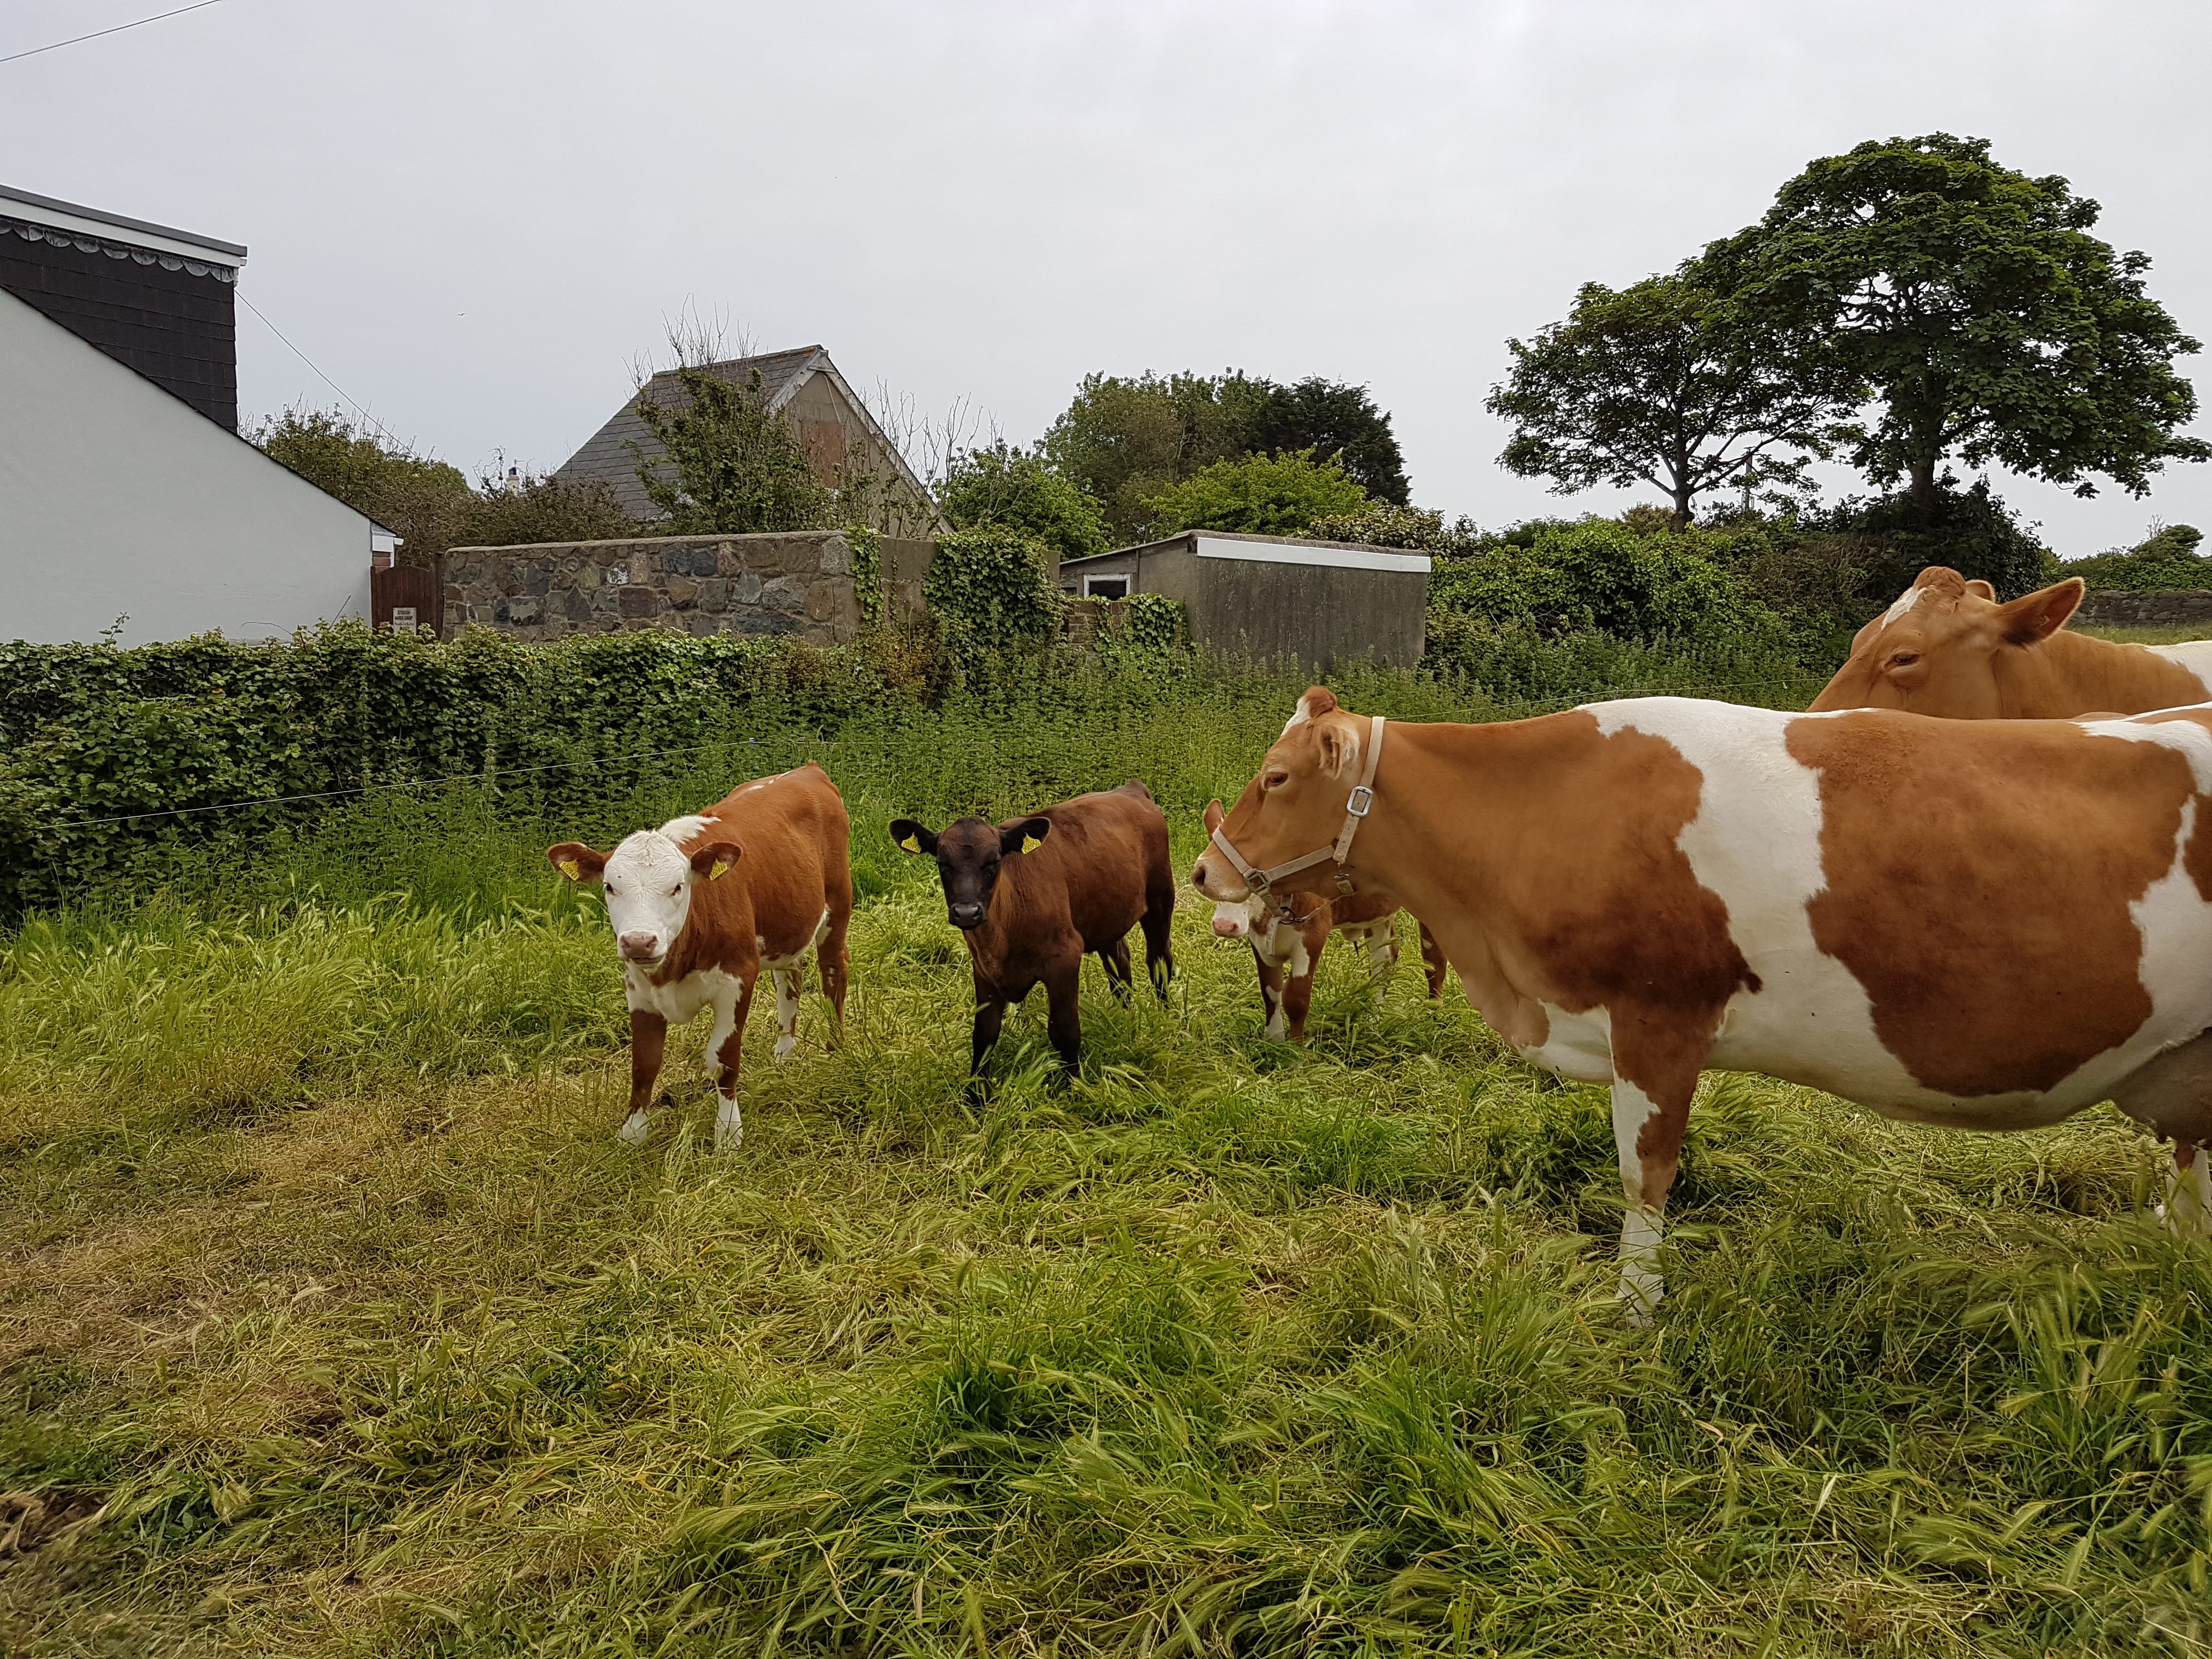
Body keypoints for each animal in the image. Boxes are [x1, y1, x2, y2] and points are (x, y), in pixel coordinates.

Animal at [547, 762, 852, 1151]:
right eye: (609, 886)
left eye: (678, 886)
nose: (639, 942)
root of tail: (806, 769)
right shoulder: (638, 989)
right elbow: (644, 1064)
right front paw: (633, 1133)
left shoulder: (738, 978)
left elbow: (723, 1059)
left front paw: (728, 1134)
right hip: (787, 925)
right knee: (790, 980)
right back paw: (784, 1051)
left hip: (837, 906)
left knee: (833, 974)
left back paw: (836, 1048)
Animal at [891, 781, 1175, 1082]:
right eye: (942, 863)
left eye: (994, 861)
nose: (967, 912)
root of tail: (1131, 789)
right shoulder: (983, 968)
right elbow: (984, 1035)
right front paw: (976, 1092)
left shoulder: (1065, 959)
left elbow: (1065, 1032)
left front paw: (1074, 1085)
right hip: (1107, 915)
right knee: (1120, 964)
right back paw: (1125, 1017)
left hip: (1161, 900)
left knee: (1159, 963)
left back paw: (1166, 1019)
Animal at [1201, 798, 1448, 1041]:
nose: (1224, 926)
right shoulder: (1259, 940)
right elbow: (1270, 992)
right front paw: (1273, 1042)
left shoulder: (1313, 934)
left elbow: (1296, 998)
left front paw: (1295, 1050)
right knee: (1385, 959)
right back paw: (1374, 1020)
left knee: (1433, 961)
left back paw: (1434, 1017)